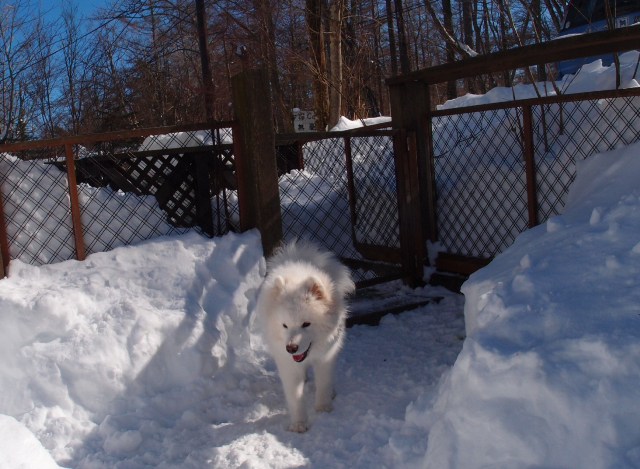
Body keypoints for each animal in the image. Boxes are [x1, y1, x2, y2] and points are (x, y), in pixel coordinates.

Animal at [255, 241, 356, 432]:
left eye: (306, 324)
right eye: (285, 325)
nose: (291, 348)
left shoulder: (326, 356)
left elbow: (323, 382)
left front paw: (323, 408)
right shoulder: (287, 363)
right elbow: (295, 396)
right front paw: (299, 424)